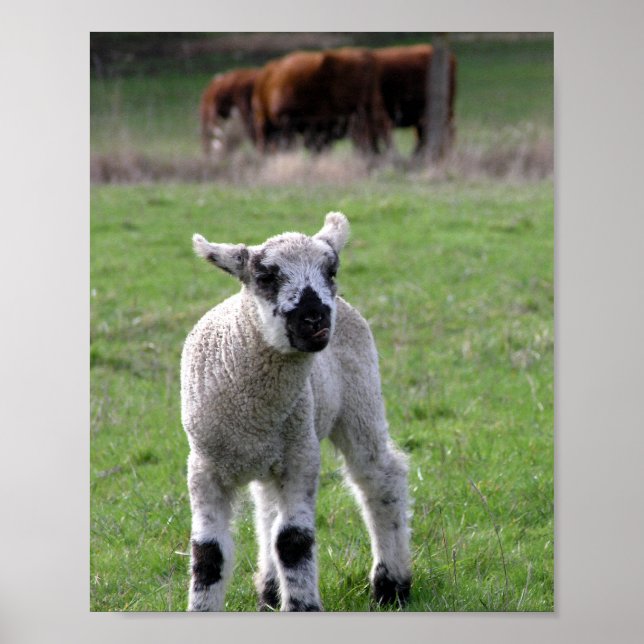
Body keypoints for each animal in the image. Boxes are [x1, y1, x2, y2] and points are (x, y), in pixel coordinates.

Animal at [180, 212, 411, 611]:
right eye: (265, 277)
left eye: (331, 270)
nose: (314, 318)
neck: (252, 412)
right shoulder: (204, 468)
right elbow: (208, 554)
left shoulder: (301, 456)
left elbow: (292, 541)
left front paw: (302, 605)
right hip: (275, 454)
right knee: (268, 509)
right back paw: (270, 591)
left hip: (360, 397)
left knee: (380, 476)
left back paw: (391, 584)